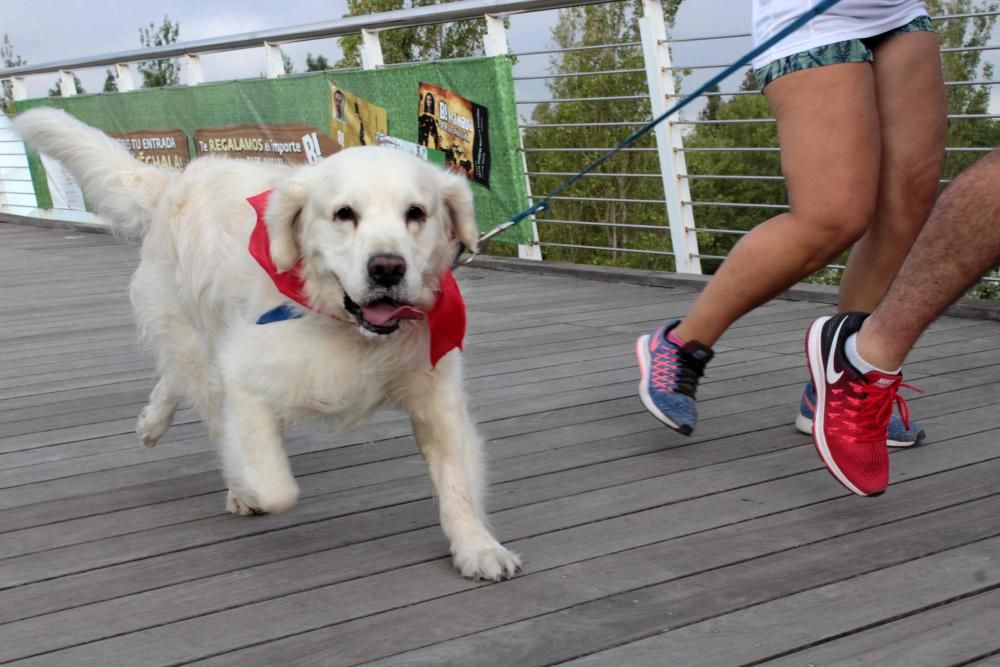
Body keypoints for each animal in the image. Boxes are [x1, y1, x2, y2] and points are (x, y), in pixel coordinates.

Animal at [15, 107, 520, 580]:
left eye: (416, 213)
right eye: (344, 214)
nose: (387, 268)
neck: (343, 324)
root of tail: (175, 181)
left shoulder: (437, 397)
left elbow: (457, 485)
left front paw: (478, 549)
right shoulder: (244, 377)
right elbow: (276, 486)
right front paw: (249, 486)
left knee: (174, 378)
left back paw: (150, 422)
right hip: (193, 337)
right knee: (200, 394)